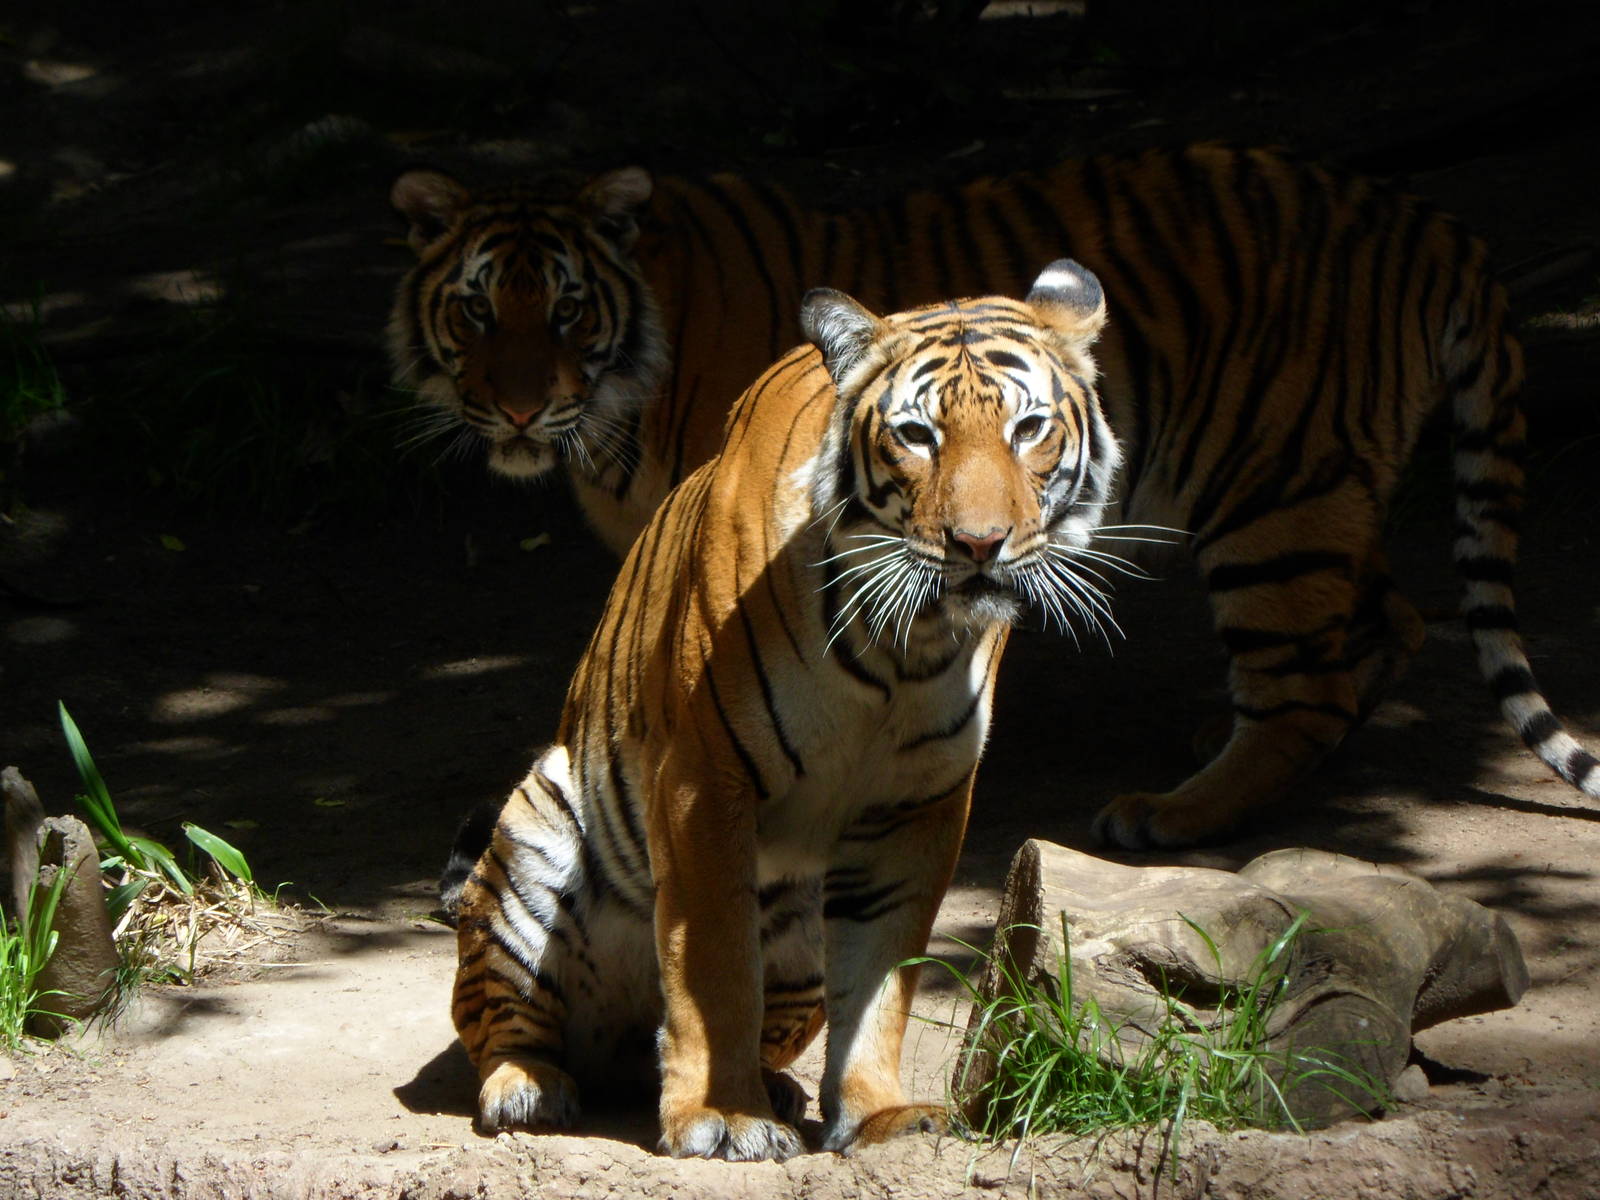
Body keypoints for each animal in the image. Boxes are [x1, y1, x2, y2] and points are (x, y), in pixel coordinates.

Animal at [388, 142, 1599, 849]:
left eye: (567, 311)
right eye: (478, 309)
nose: (515, 408)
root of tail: (1429, 223)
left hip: (1276, 497)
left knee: (1305, 688)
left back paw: (1172, 812)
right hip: (1314, 479)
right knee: (1381, 627)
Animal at [447, 262, 1118, 1159]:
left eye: (1029, 428)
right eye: (917, 435)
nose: (980, 546)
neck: (904, 646)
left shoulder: (917, 809)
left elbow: (881, 979)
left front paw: (878, 1114)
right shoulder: (702, 783)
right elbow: (714, 970)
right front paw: (722, 1118)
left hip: (799, 937)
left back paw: (773, 1087)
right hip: (532, 843)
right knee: (503, 1024)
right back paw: (529, 1089)